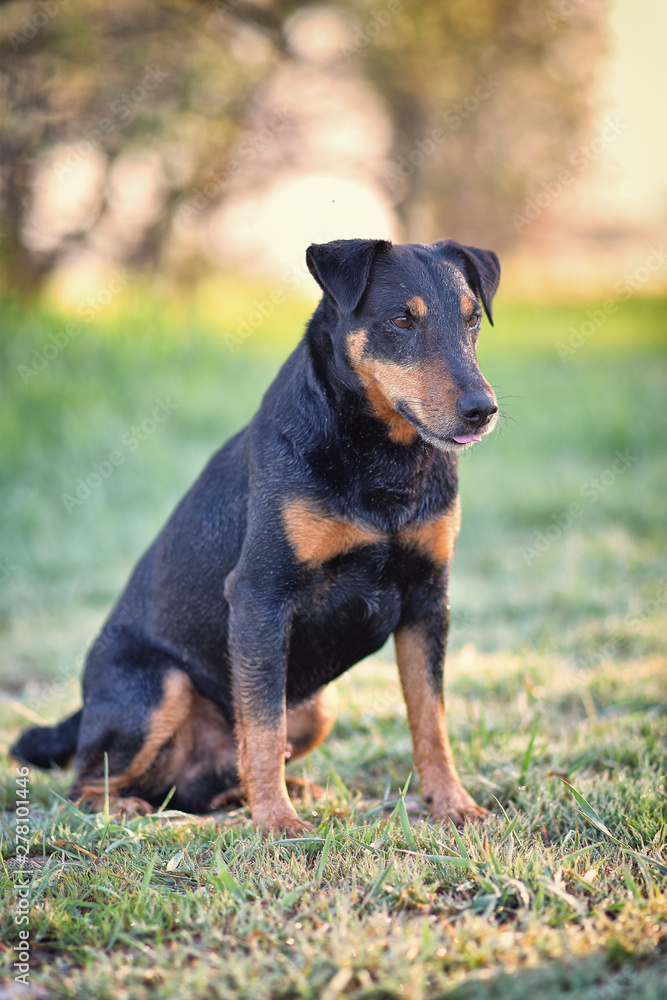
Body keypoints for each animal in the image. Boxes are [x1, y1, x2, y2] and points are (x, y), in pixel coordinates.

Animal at [13, 236, 500, 836]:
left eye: (472, 318)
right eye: (401, 320)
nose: (482, 410)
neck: (382, 457)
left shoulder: (427, 600)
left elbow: (431, 720)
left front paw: (453, 804)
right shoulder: (260, 596)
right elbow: (263, 728)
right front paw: (277, 823)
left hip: (317, 709)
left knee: (211, 776)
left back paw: (272, 792)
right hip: (158, 686)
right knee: (85, 782)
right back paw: (136, 806)